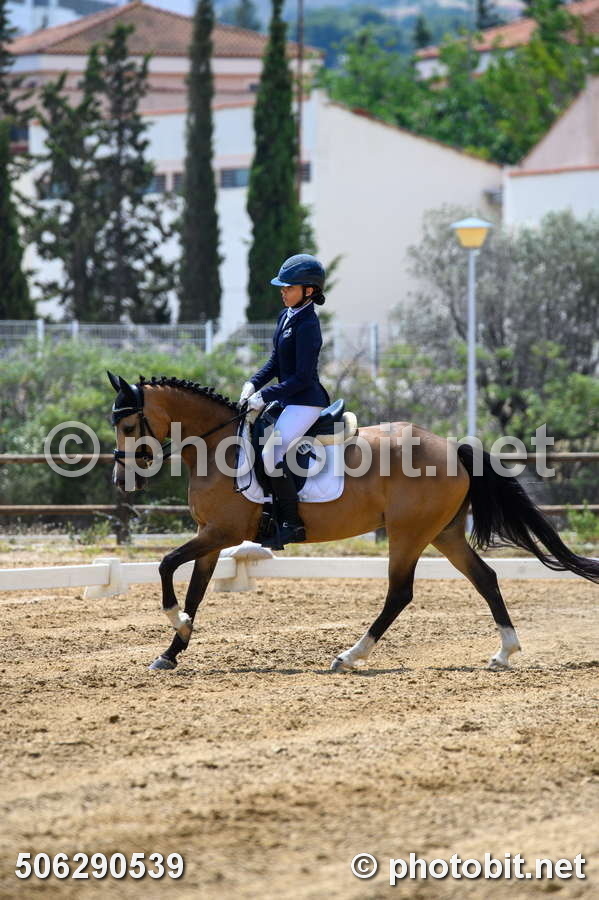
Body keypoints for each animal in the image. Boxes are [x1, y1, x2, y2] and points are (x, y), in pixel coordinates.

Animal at [108, 372, 599, 673]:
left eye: (130, 426)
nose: (123, 479)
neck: (217, 446)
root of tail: (453, 447)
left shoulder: (221, 532)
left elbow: (166, 565)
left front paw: (176, 621)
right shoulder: (210, 537)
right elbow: (195, 589)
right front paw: (173, 648)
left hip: (407, 533)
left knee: (400, 593)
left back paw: (349, 656)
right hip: (443, 533)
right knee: (486, 578)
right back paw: (504, 652)